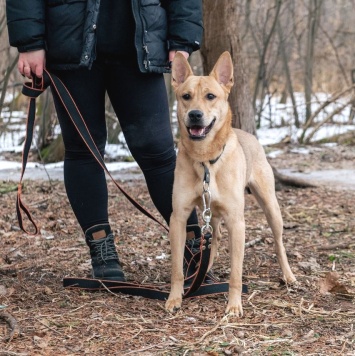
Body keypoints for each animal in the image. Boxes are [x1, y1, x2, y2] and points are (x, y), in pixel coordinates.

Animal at [167, 51, 298, 316]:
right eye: (186, 96)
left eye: (210, 96)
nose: (195, 114)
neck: (206, 160)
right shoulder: (179, 217)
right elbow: (176, 268)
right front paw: (175, 298)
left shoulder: (237, 222)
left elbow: (236, 273)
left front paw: (234, 305)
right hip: (213, 214)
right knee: (214, 238)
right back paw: (204, 271)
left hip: (270, 207)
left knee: (279, 242)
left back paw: (288, 275)